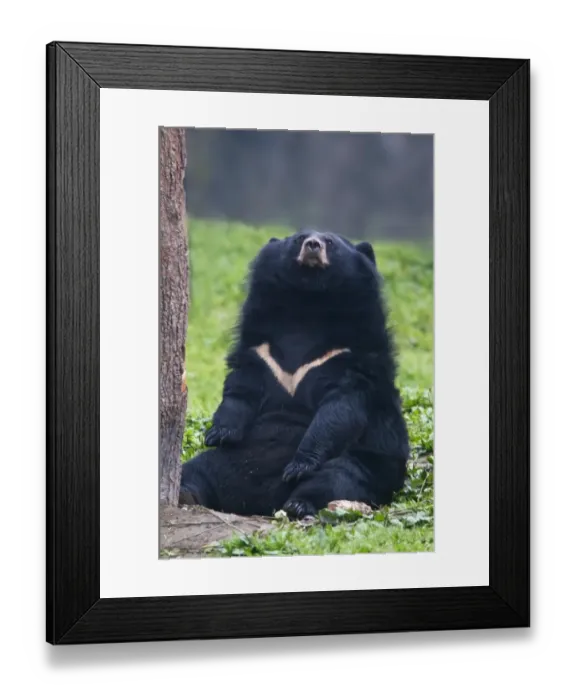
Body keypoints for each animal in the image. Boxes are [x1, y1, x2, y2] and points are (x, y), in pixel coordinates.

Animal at [180, 228, 410, 519]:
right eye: (300, 238)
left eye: (330, 242)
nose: (313, 245)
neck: (307, 304)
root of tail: (260, 503)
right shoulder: (261, 348)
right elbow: (240, 389)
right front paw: (217, 433)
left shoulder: (352, 356)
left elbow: (339, 409)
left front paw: (299, 465)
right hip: (229, 460)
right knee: (197, 469)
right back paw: (186, 492)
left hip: (370, 464)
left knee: (338, 478)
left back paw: (298, 503)